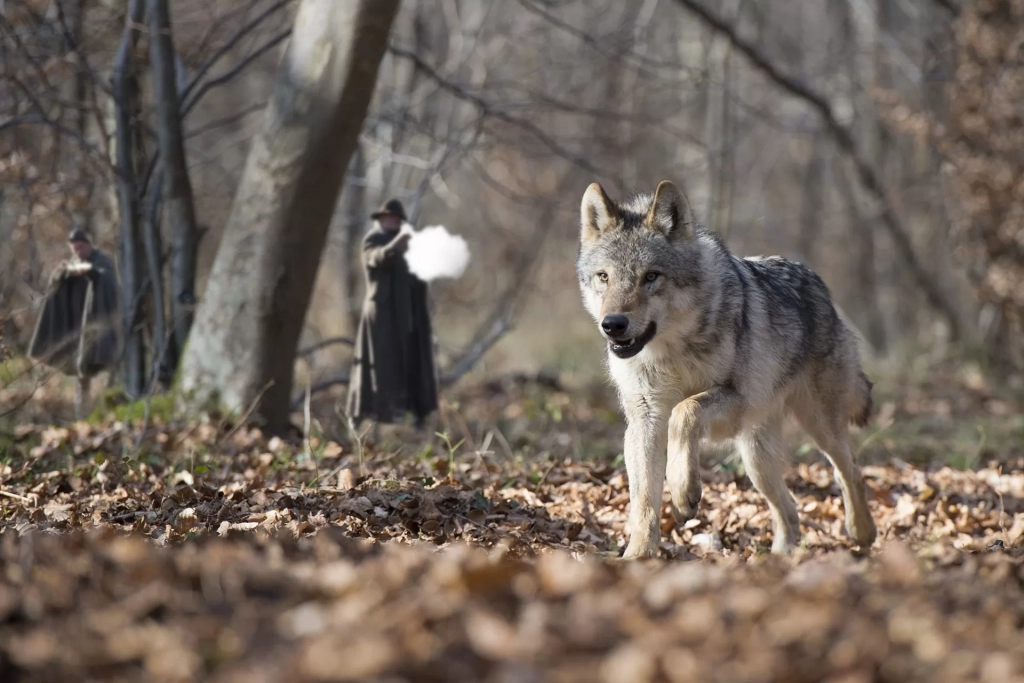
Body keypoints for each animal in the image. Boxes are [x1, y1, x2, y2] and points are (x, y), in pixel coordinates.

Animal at [577, 179, 880, 557]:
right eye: (604, 277)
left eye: (651, 277)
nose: (613, 325)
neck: (672, 353)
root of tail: (822, 288)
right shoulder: (644, 421)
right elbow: (644, 500)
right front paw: (638, 555)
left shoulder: (736, 400)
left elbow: (684, 411)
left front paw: (684, 493)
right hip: (756, 461)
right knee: (789, 510)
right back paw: (778, 558)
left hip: (818, 427)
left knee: (850, 471)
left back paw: (862, 532)